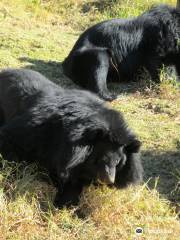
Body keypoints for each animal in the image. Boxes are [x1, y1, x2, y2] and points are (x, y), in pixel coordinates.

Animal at [0, 68, 143, 206]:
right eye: (101, 159)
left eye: (119, 162)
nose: (109, 180)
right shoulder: (37, 129)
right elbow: (10, 138)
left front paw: (67, 199)